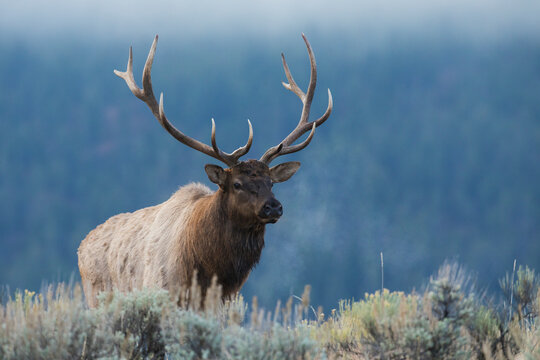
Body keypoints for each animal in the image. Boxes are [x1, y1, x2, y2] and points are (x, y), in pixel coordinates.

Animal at [75, 35, 330, 308]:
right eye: (236, 184)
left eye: (271, 183)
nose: (273, 207)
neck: (207, 269)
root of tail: (81, 246)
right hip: (96, 296)